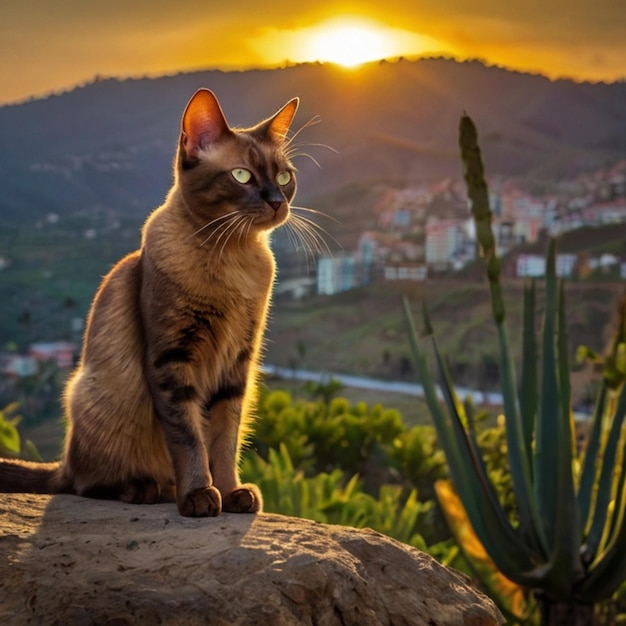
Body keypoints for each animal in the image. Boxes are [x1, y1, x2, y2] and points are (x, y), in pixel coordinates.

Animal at [0, 88, 300, 516]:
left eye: (285, 177)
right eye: (242, 175)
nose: (277, 201)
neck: (232, 258)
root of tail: (63, 463)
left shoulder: (237, 367)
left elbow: (223, 442)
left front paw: (231, 494)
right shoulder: (171, 359)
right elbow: (189, 438)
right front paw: (198, 496)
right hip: (91, 396)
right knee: (84, 484)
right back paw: (144, 489)